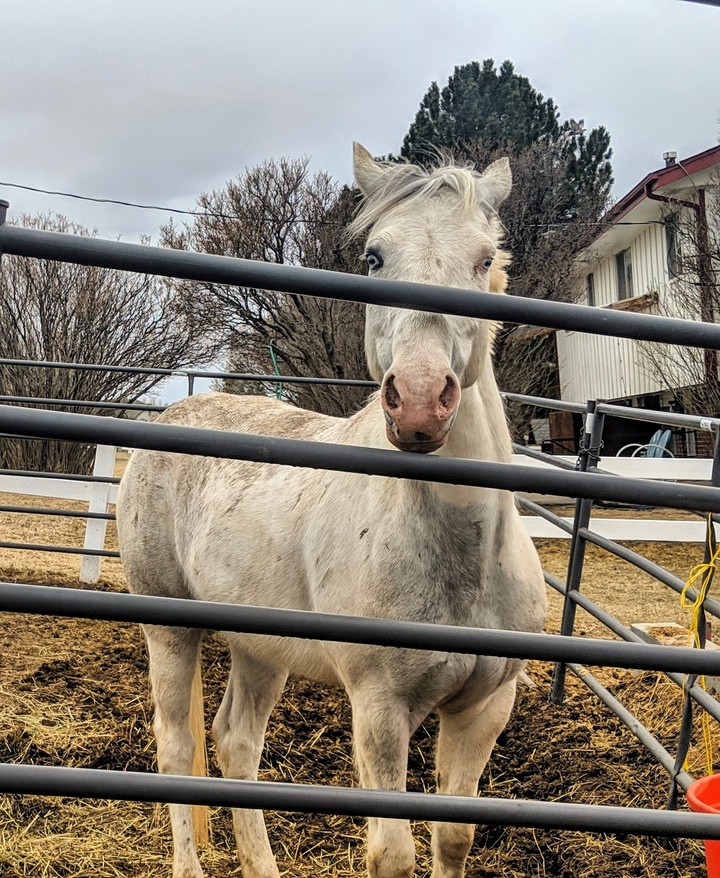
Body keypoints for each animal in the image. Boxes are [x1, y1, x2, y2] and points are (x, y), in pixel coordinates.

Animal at [116, 143, 547, 878]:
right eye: (374, 257)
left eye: (483, 258)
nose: (421, 401)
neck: (462, 559)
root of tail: (172, 416)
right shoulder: (380, 708)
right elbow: (392, 853)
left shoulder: (485, 710)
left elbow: (454, 838)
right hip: (169, 630)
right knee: (176, 747)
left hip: (260, 648)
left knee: (235, 744)